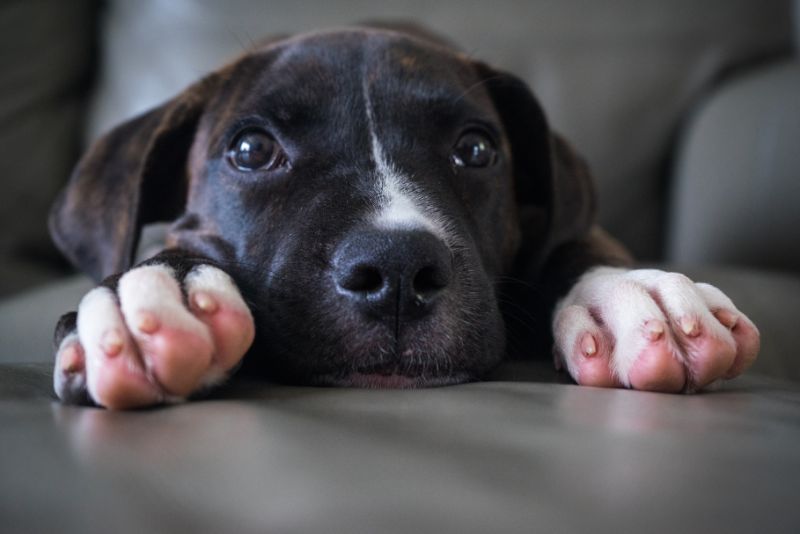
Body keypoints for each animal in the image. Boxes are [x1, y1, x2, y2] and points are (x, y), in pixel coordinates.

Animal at [47, 25, 760, 410]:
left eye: (476, 150)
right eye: (250, 151)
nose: (395, 268)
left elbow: (578, 240)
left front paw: (631, 294)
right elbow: (178, 244)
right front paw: (156, 292)